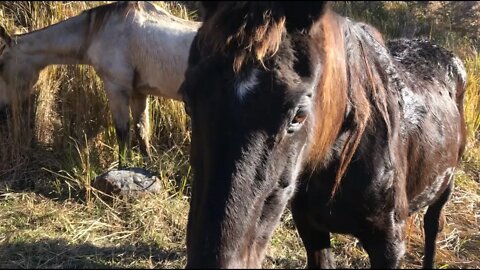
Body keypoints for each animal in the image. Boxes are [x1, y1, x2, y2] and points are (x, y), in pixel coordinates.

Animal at [179, 1, 464, 268]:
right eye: (187, 100)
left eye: (298, 116)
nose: (215, 261)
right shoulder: (311, 228)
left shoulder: (388, 246)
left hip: (446, 184)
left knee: (433, 223)